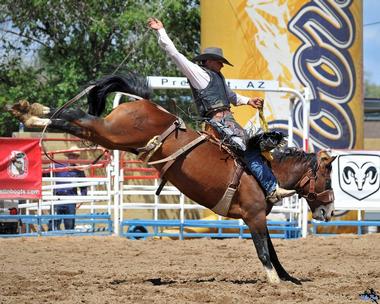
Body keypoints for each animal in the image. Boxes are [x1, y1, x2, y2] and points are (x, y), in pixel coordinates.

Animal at [7, 73, 336, 284]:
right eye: (328, 179)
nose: (329, 211)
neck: (266, 171)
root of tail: (145, 102)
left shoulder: (258, 218)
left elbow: (273, 250)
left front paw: (288, 278)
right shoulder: (254, 216)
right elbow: (264, 250)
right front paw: (274, 280)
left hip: (112, 137)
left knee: (75, 121)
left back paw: (29, 112)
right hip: (113, 133)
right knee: (78, 117)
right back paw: (31, 113)